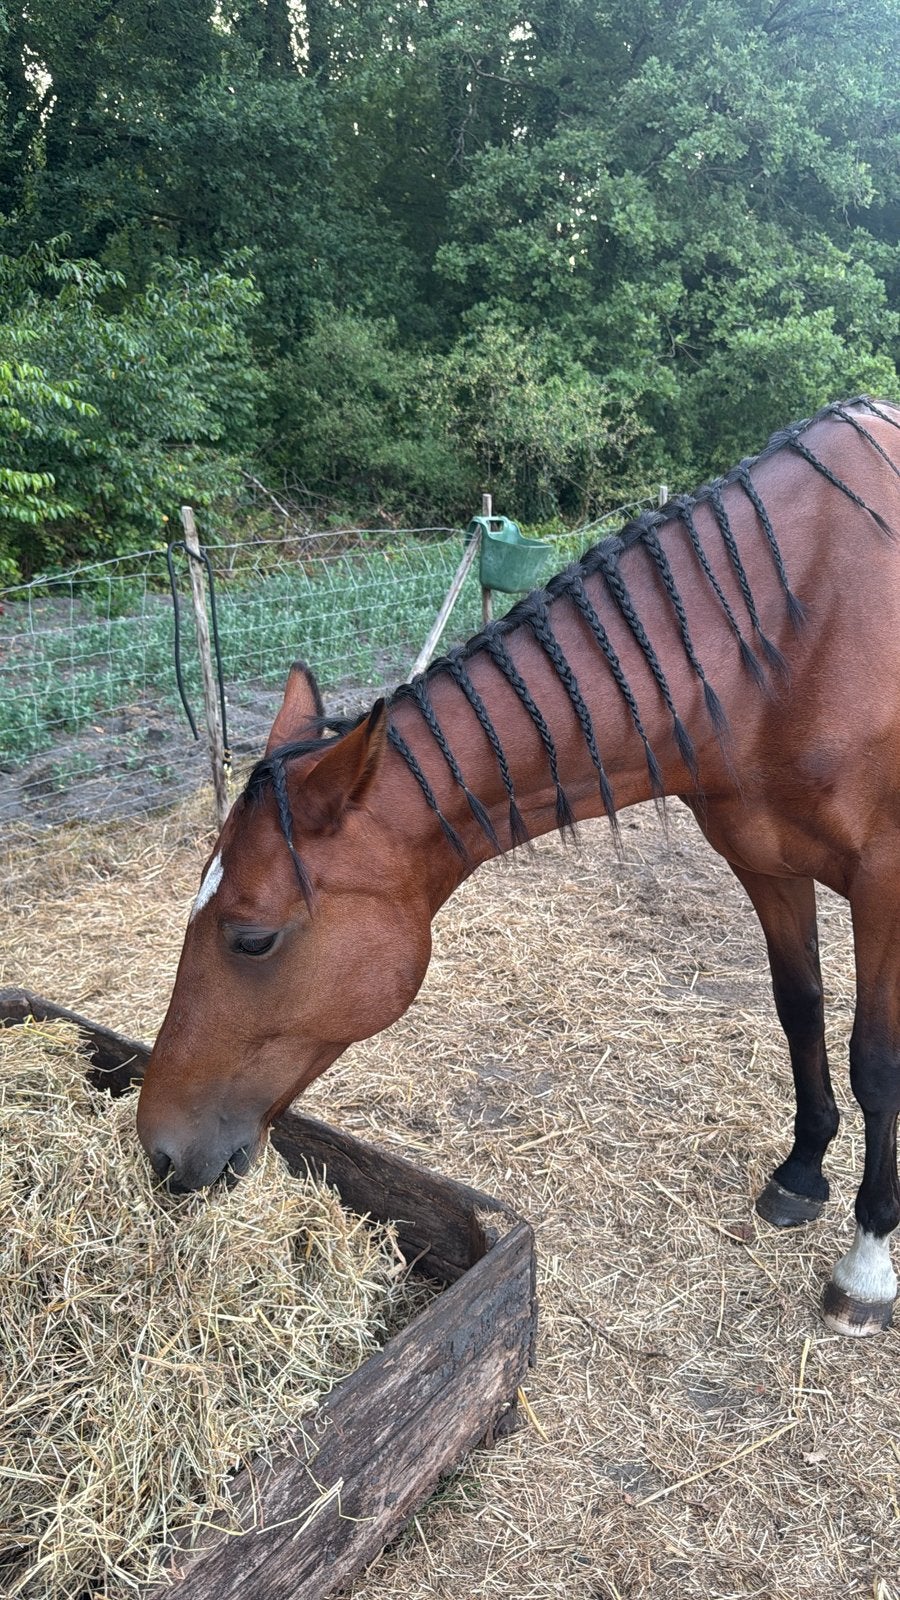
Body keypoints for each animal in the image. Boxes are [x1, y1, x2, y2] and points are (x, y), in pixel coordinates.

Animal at [137, 396, 900, 1338]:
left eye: (251, 939)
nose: (157, 1148)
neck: (795, 626)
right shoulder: (766, 866)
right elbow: (799, 1011)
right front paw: (800, 1174)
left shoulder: (884, 884)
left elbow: (877, 1061)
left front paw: (867, 1266)